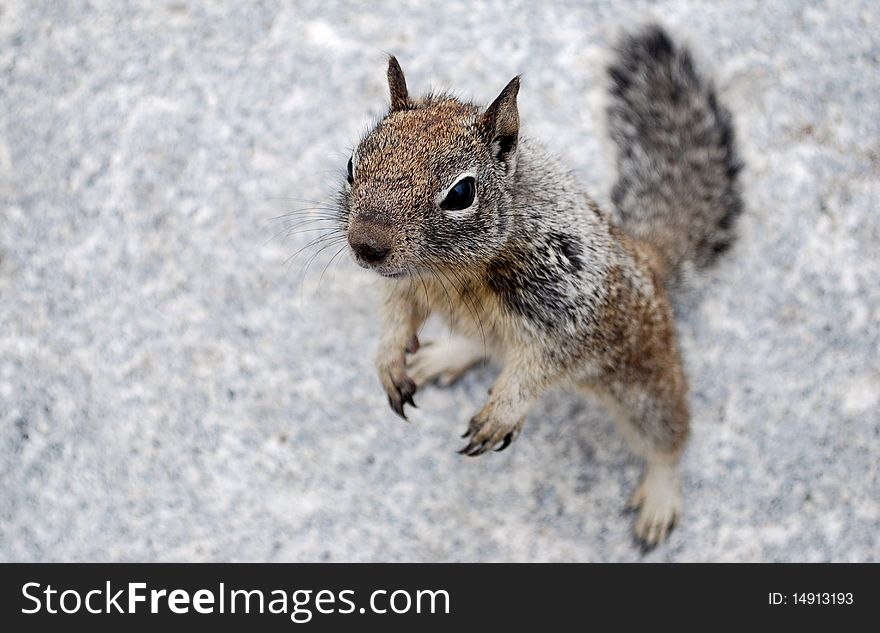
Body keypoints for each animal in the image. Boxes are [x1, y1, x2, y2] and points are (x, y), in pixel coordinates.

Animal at [336, 27, 744, 544]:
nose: (365, 245)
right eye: (353, 163)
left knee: (669, 436)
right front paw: (388, 360)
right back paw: (445, 354)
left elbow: (542, 365)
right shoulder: (404, 287)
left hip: (646, 383)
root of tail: (647, 254)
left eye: (461, 193)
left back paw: (661, 494)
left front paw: (502, 413)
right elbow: (394, 318)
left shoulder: (572, 306)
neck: (454, 270)